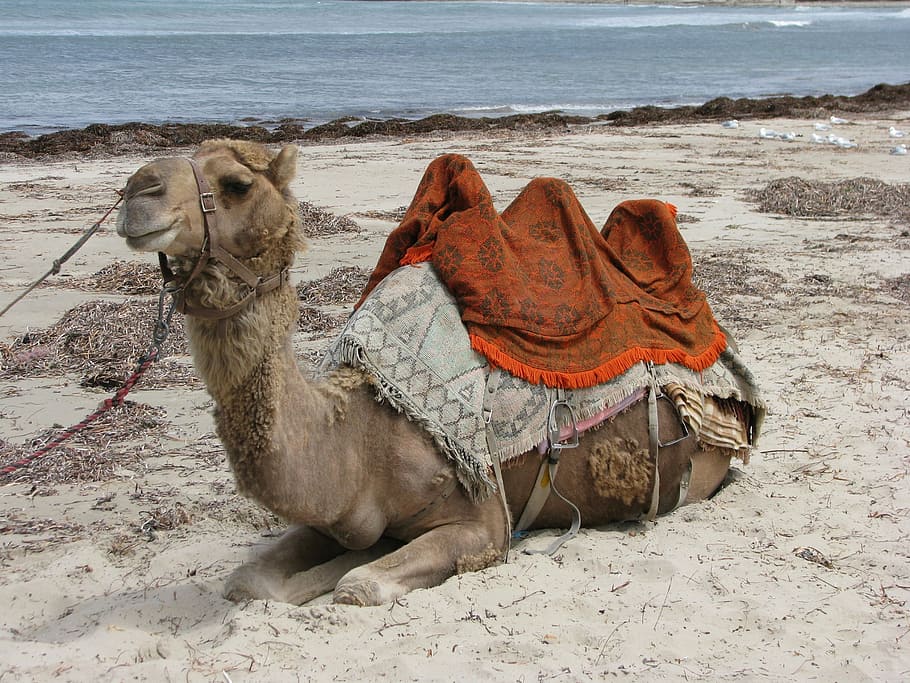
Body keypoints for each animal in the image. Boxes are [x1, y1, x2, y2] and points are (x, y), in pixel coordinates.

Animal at [116, 139, 747, 606]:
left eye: (236, 184)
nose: (136, 190)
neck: (357, 436)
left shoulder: (486, 523)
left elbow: (358, 586)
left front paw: (345, 572)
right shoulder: (332, 518)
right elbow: (250, 581)